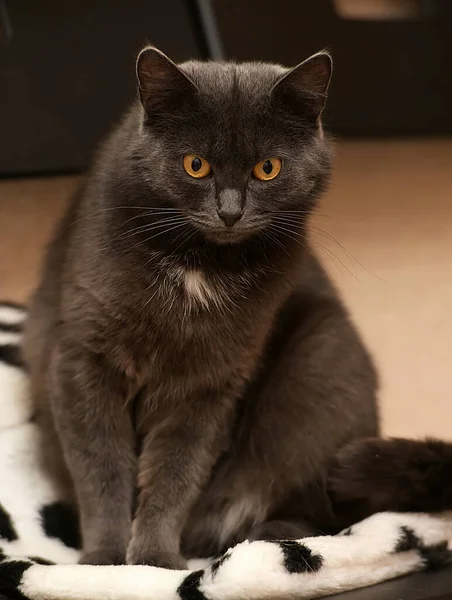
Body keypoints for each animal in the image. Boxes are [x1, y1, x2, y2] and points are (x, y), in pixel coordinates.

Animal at [22, 45, 382, 568]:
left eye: (267, 168)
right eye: (195, 165)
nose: (230, 211)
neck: (199, 265)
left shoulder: (209, 385)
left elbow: (177, 471)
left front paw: (153, 560)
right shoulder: (84, 360)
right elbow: (101, 465)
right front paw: (105, 561)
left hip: (322, 366)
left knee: (318, 507)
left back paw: (272, 541)